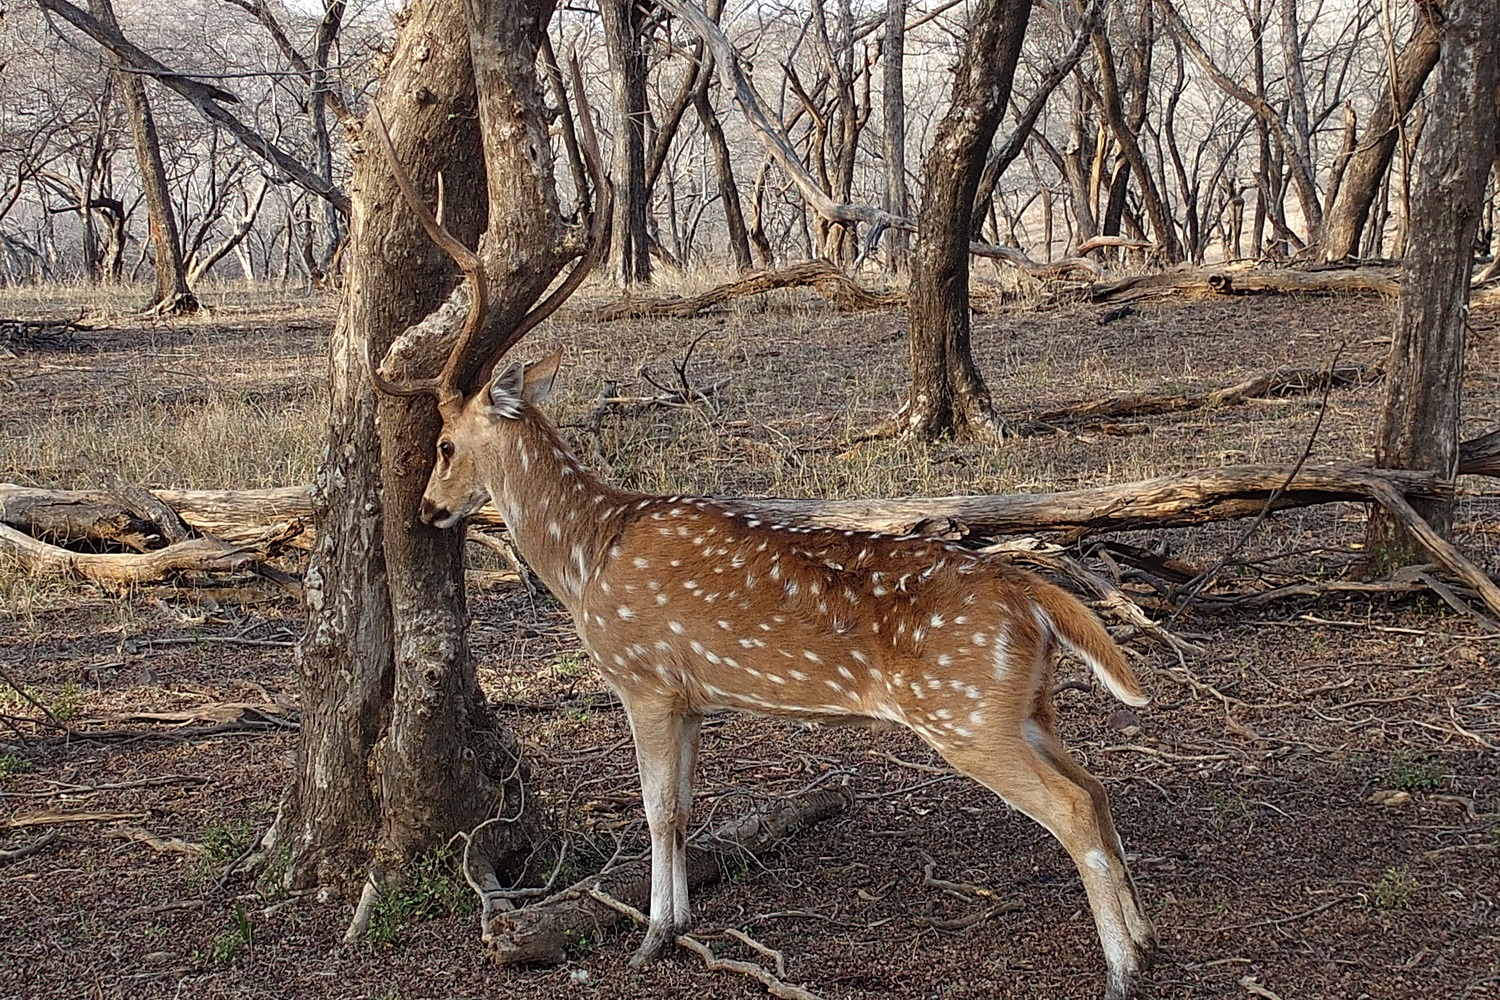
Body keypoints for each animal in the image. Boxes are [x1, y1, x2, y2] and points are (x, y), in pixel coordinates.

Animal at [372, 150, 1158, 1000]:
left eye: (446, 443)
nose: (427, 507)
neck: (586, 558)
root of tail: (1031, 593)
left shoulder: (643, 678)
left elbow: (654, 809)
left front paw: (651, 936)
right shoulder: (690, 698)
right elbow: (684, 808)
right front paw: (679, 920)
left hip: (967, 714)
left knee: (1073, 806)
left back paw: (1121, 971)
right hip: (1026, 706)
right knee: (1098, 786)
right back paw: (1146, 937)